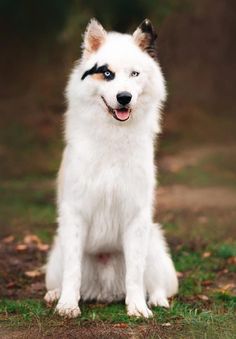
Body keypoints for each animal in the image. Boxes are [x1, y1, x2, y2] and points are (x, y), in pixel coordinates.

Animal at [44, 18, 178, 318]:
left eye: (135, 74)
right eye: (107, 74)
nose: (124, 97)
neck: (113, 135)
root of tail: (105, 291)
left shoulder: (136, 216)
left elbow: (135, 274)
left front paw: (138, 307)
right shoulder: (75, 213)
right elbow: (72, 271)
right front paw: (67, 305)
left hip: (154, 244)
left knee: (156, 283)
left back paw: (156, 300)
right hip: (56, 254)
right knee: (61, 276)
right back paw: (54, 294)